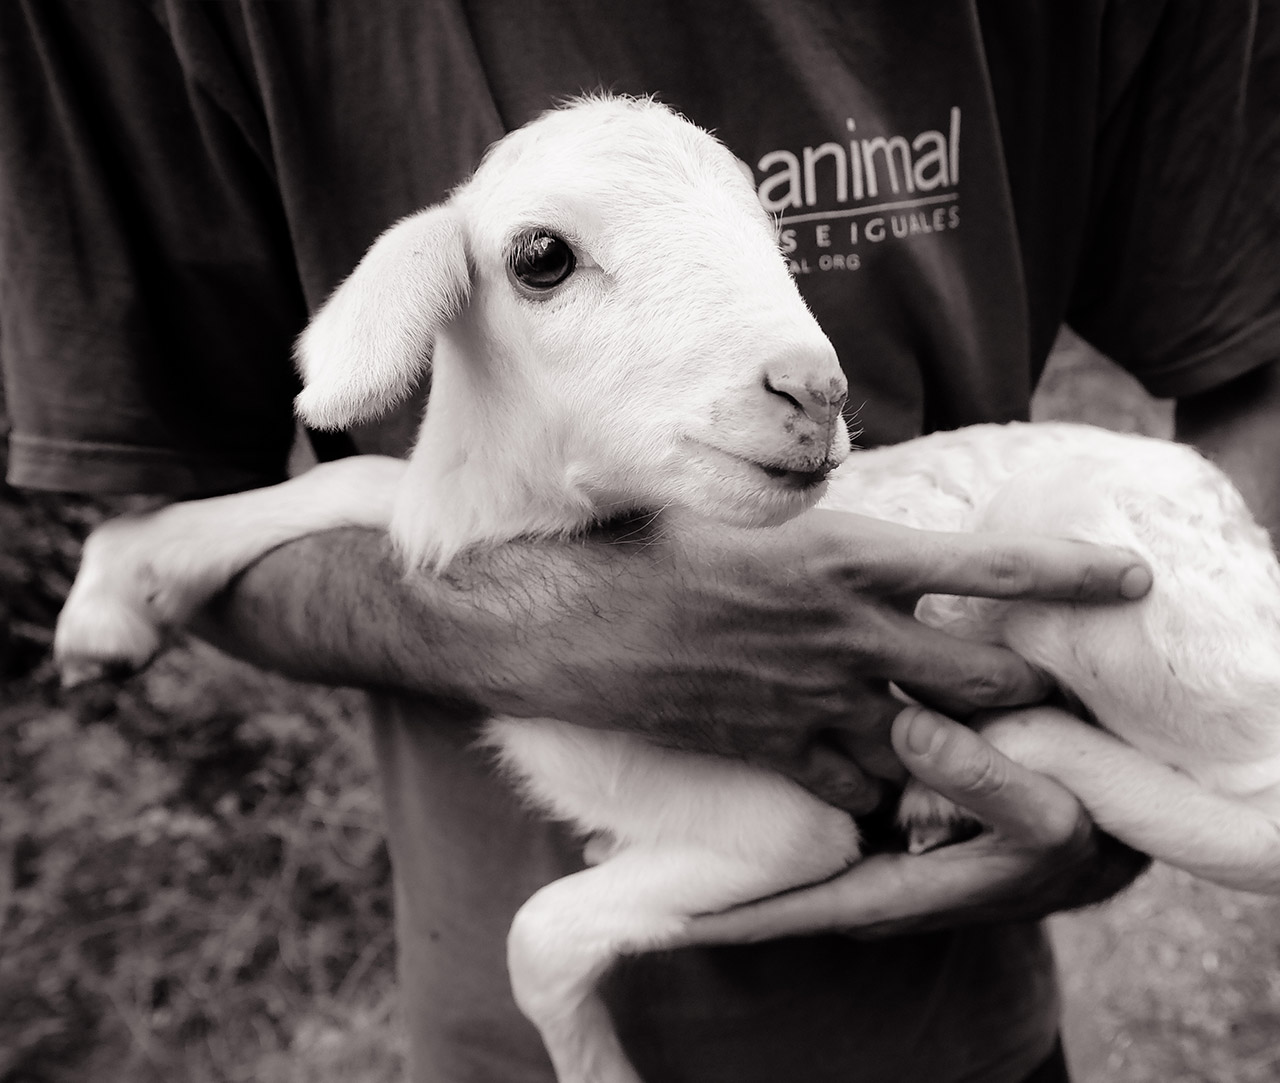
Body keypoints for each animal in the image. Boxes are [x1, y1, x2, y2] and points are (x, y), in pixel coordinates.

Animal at [55, 95, 1280, 1083]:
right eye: (539, 255)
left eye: (773, 235)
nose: (813, 389)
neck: (532, 528)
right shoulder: (436, 525)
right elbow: (346, 479)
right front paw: (110, 598)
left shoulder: (773, 829)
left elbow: (539, 934)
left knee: (1252, 807)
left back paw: (1016, 756)